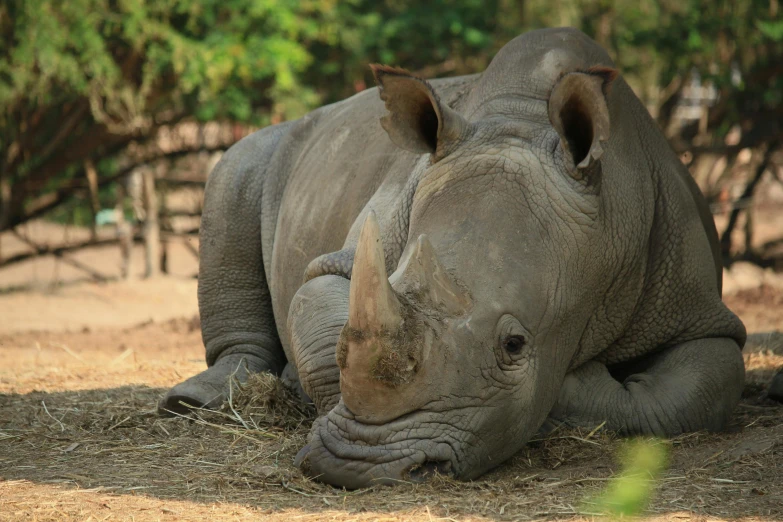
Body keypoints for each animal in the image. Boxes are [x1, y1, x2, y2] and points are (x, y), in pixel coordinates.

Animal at [159, 26, 748, 486]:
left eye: (515, 345)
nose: (356, 467)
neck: (522, 122)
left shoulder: (696, 310)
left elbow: (691, 393)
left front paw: (572, 386)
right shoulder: (347, 259)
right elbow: (324, 312)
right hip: (269, 150)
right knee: (234, 171)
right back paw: (196, 403)